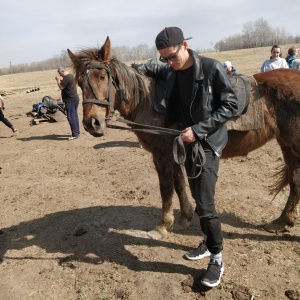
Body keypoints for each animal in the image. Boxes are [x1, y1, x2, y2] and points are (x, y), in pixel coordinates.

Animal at [68, 37, 300, 239]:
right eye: (79, 81)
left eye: (102, 76)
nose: (92, 123)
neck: (147, 99)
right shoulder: (175, 150)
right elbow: (179, 183)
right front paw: (185, 218)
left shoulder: (161, 154)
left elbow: (166, 187)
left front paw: (163, 225)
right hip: (287, 146)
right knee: (295, 180)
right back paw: (282, 221)